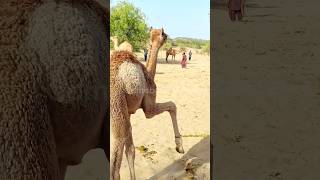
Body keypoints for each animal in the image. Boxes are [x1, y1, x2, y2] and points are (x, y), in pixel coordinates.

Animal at [110, 27, 185, 179]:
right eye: (164, 34)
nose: (169, 38)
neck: (149, 73)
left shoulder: (128, 112)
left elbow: (130, 150)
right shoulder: (148, 106)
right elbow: (172, 105)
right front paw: (179, 146)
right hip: (116, 105)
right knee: (115, 166)